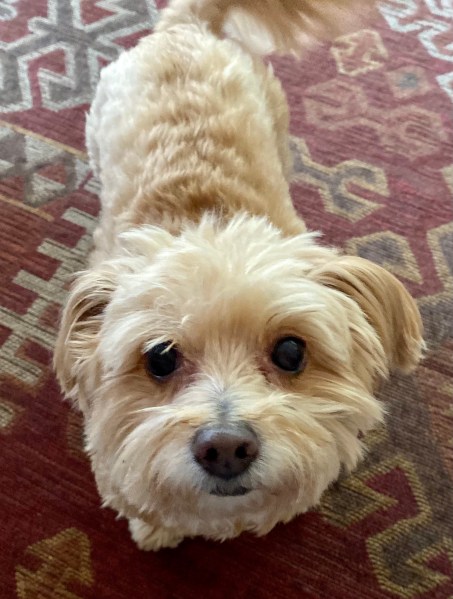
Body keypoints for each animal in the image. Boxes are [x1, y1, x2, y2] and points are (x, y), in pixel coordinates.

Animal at [54, 0, 424, 551]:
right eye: (160, 358)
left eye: (291, 351)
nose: (225, 447)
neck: (209, 219)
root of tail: (184, 27)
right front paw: (155, 524)